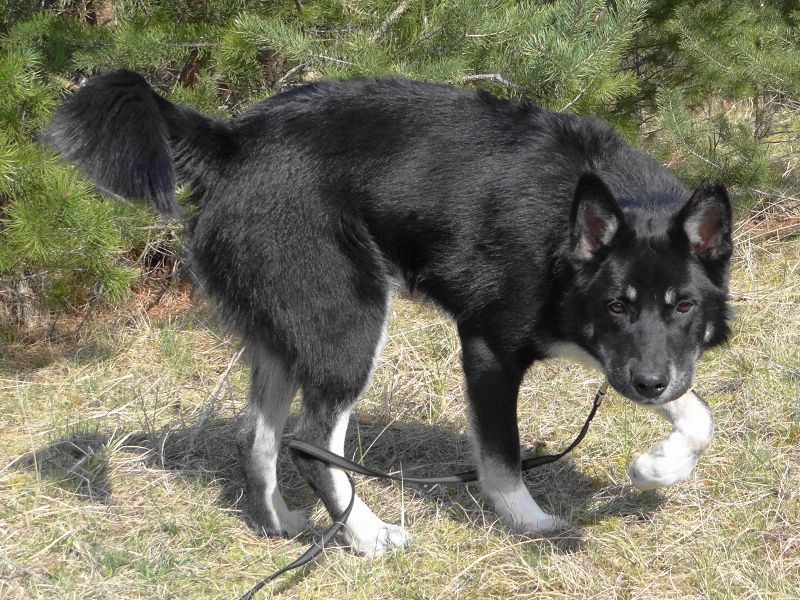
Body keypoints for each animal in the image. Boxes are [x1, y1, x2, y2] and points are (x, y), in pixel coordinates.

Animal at [43, 70, 732, 556]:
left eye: (684, 305)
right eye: (617, 303)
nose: (648, 384)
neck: (565, 231)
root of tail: (231, 143)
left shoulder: (633, 355)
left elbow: (697, 415)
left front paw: (656, 467)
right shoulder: (489, 348)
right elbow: (501, 458)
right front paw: (530, 521)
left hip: (288, 333)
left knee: (257, 439)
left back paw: (283, 522)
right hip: (349, 325)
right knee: (310, 444)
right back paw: (366, 534)